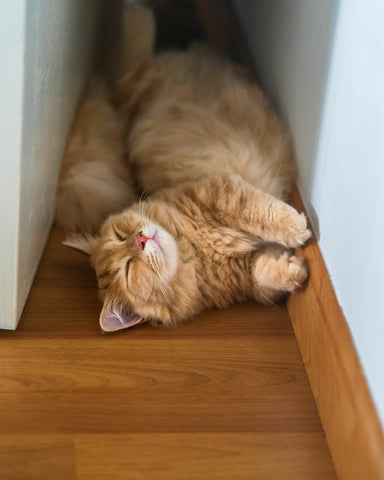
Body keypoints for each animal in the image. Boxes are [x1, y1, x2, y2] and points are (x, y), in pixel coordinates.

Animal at [57, 4, 310, 334]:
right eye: (128, 268)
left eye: (120, 237)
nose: (141, 240)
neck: (196, 250)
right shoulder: (246, 268)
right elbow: (265, 274)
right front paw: (297, 266)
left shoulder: (215, 189)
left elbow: (257, 211)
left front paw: (294, 227)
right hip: (141, 84)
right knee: (132, 66)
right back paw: (138, 11)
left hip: (143, 86)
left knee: (133, 60)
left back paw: (137, 10)